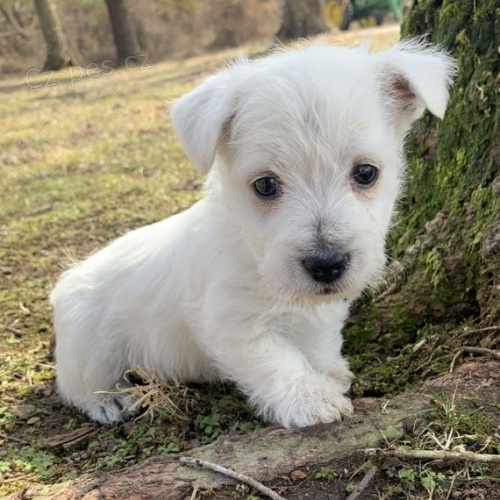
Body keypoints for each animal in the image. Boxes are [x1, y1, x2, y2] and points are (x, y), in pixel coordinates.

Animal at [50, 41, 454, 428]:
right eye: (265, 185)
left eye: (366, 172)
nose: (326, 264)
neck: (254, 256)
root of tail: (67, 280)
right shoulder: (234, 324)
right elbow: (278, 360)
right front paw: (311, 399)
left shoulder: (318, 314)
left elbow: (319, 342)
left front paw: (329, 372)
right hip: (91, 352)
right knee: (74, 384)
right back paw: (108, 401)